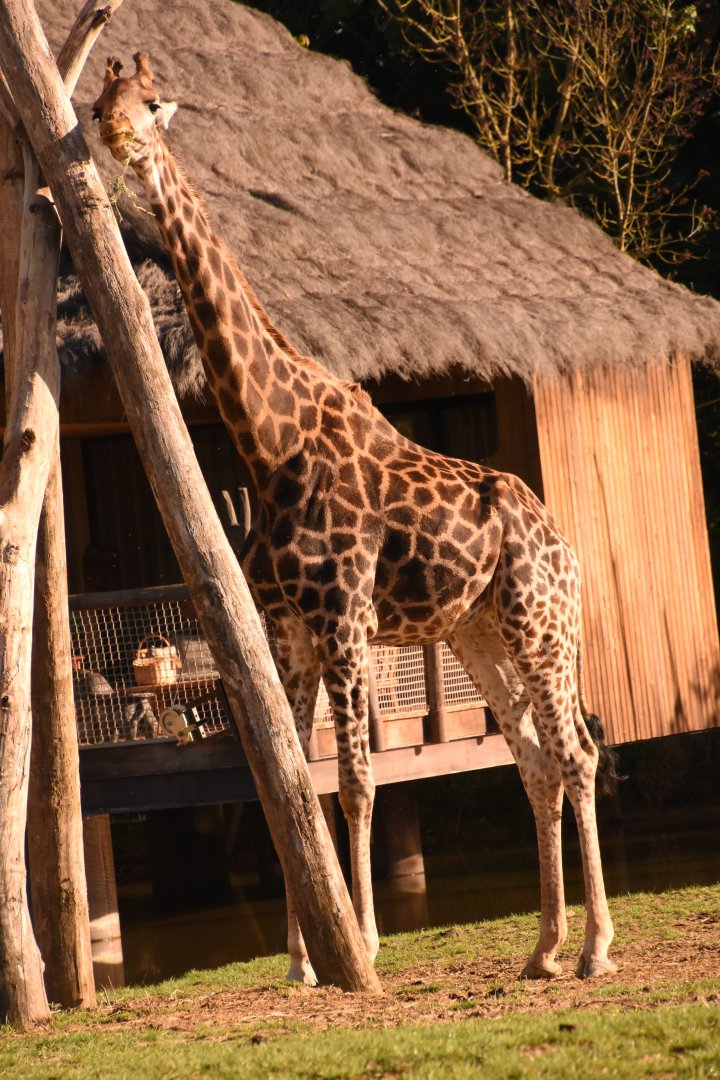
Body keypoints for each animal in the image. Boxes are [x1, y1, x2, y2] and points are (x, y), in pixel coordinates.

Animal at [93, 53, 617, 986]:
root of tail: (567, 545)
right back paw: (543, 948)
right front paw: (304, 961)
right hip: (478, 633)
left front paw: (364, 943)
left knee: (577, 751)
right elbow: (295, 784)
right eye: (97, 101)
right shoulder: (291, 630)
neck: (270, 444)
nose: (115, 136)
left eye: (153, 104)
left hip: (544, 625)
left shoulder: (344, 621)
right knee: (532, 757)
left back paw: (595, 948)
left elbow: (357, 783)